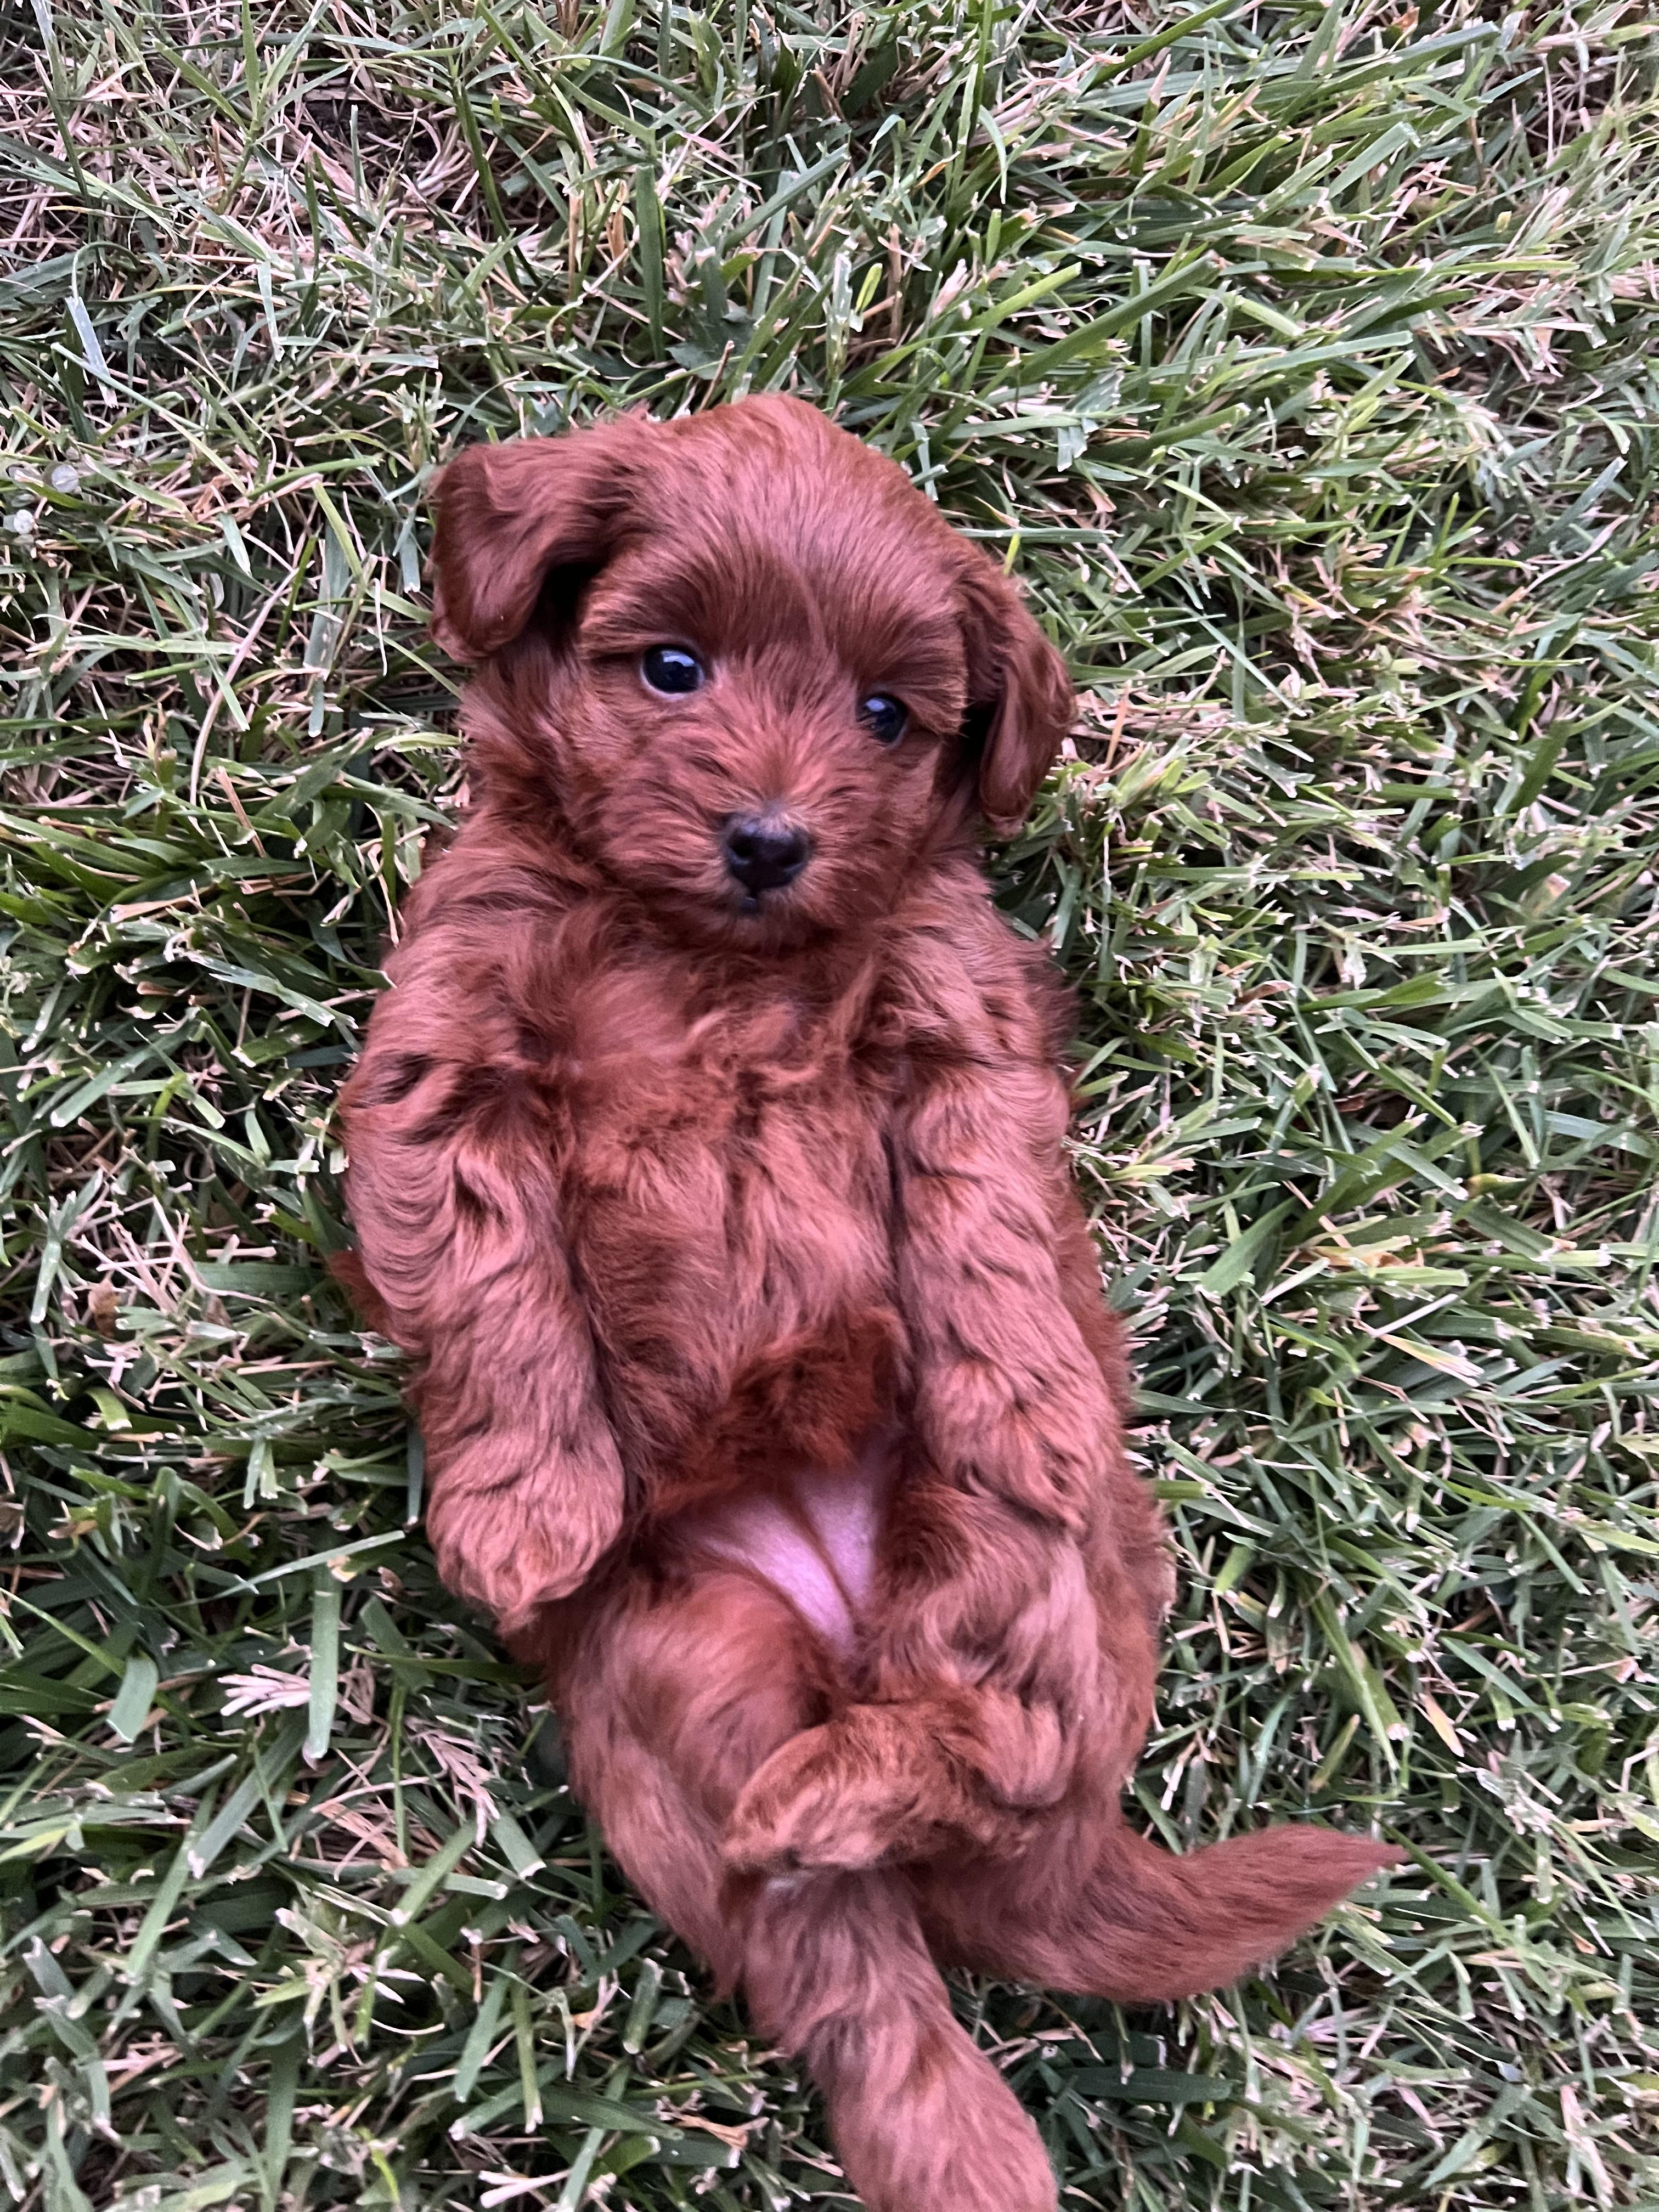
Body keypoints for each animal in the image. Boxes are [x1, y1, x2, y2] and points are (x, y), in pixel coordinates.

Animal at [338, 394, 1399, 2212]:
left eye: (889, 715)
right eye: (671, 667)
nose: (770, 838)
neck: (711, 951)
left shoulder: (953, 1025)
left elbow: (980, 1226)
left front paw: (1023, 1396)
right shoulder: (446, 1056)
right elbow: (490, 1276)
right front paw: (528, 1512)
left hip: (1012, 1579)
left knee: (995, 1739)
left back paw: (860, 1791)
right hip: (685, 1668)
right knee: (848, 1976)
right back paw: (934, 2096)